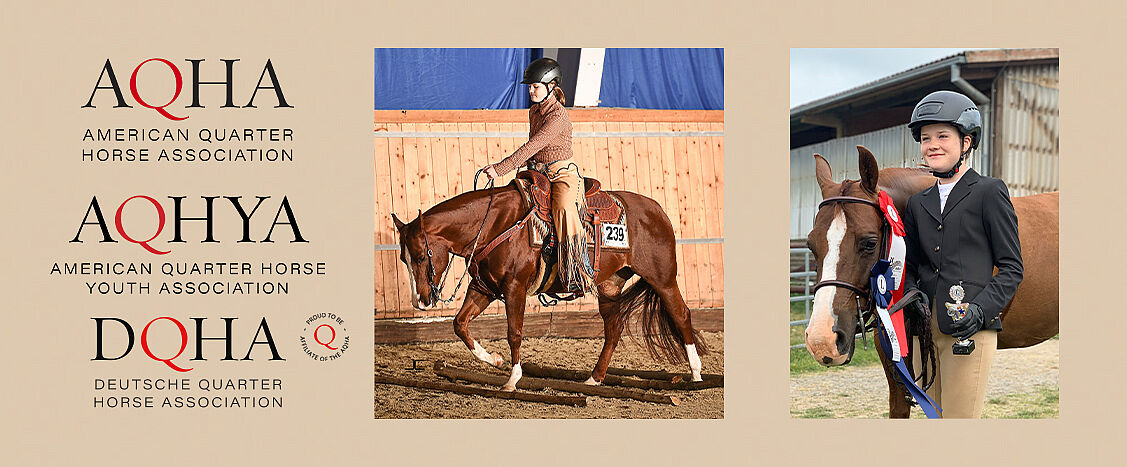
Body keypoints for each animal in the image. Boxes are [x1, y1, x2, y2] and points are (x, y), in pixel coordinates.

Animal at [391, 175, 709, 391]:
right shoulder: (483, 288)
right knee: (614, 329)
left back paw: (695, 374)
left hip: (663, 279)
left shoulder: (514, 288)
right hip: (609, 286)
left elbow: (514, 333)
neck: (494, 223)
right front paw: (494, 360)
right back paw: (594, 379)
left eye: (419, 255)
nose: (420, 301)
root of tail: (657, 210)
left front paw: (512, 379)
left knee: (681, 315)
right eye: (404, 259)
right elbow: (460, 324)